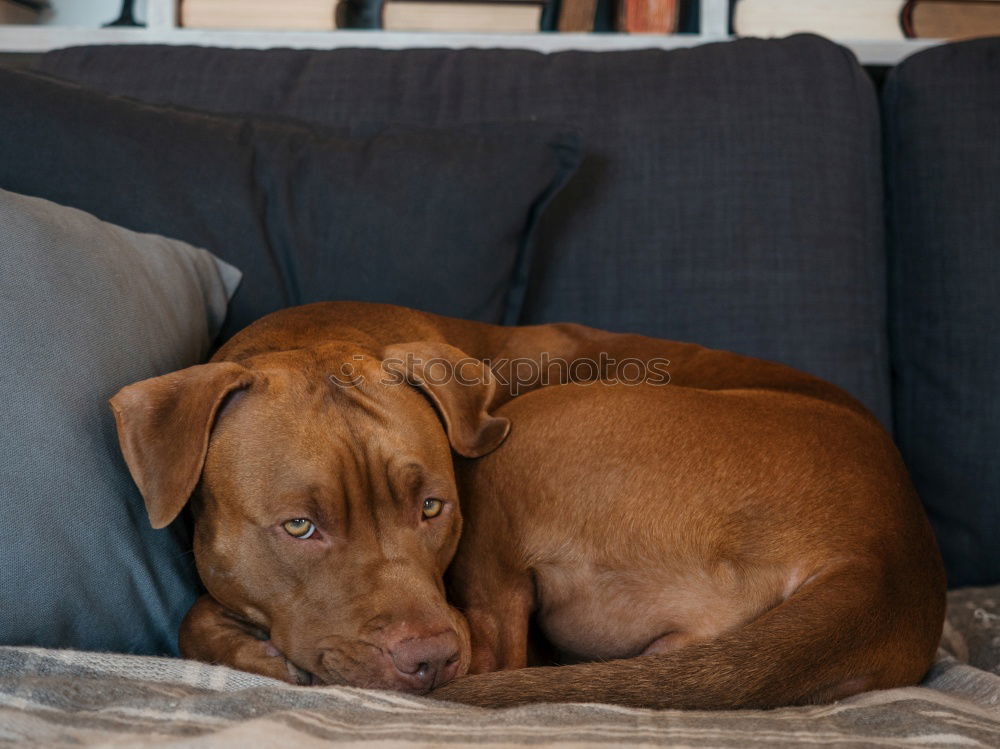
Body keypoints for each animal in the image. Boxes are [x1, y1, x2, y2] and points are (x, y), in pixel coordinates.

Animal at [109, 300, 944, 708]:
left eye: (433, 508)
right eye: (299, 526)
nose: (427, 657)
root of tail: (888, 554)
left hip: (523, 445)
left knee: (500, 648)